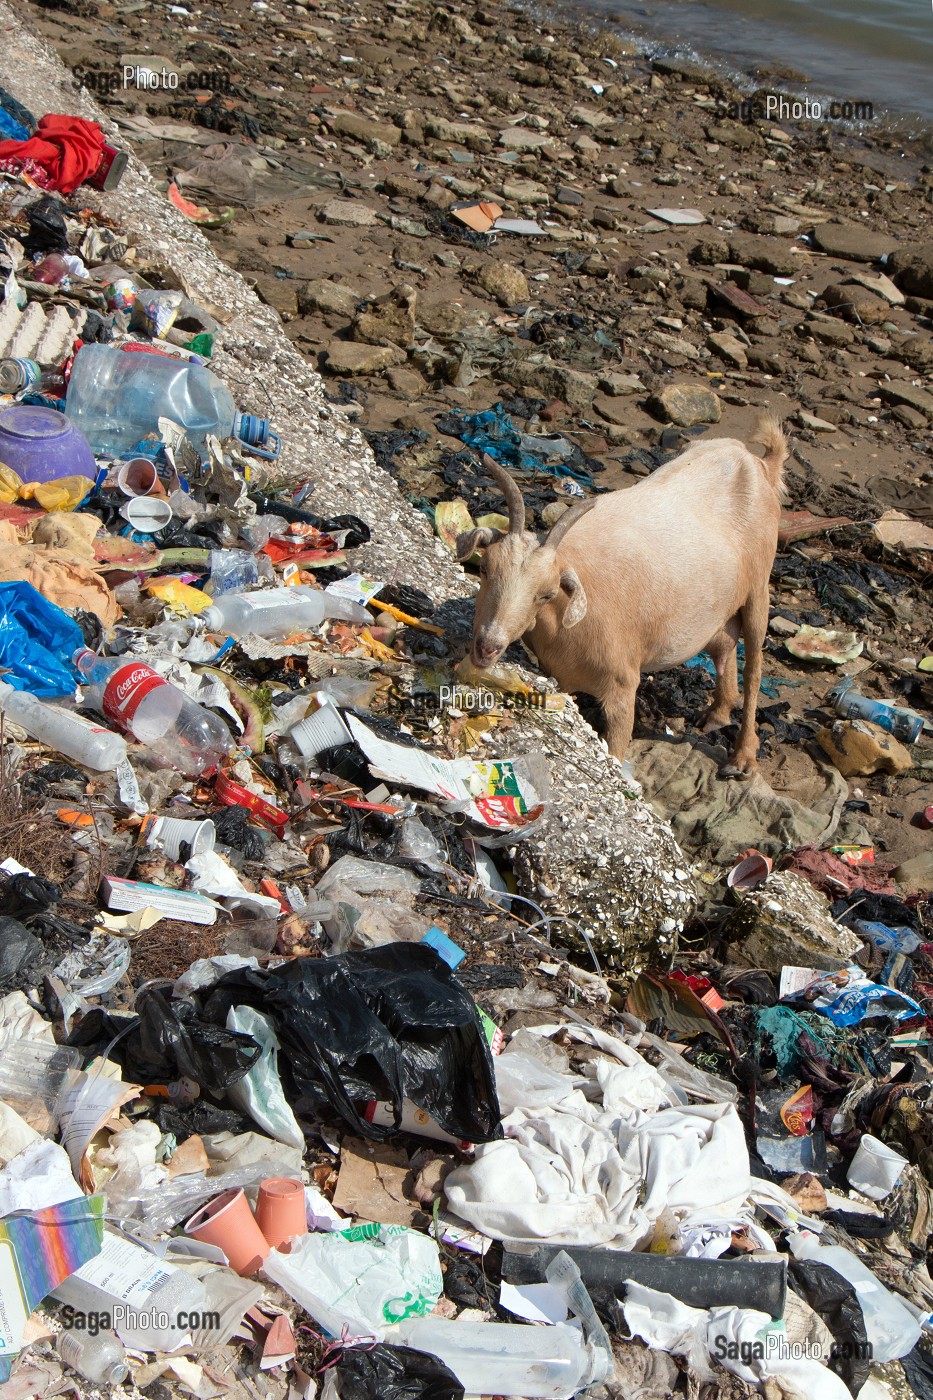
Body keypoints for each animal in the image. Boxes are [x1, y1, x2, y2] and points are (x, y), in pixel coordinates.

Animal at [456, 414, 784, 778]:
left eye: (546, 594)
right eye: (486, 569)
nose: (487, 646)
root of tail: (755, 461)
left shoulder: (622, 687)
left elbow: (615, 748)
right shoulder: (561, 676)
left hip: (759, 585)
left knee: (753, 666)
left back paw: (742, 758)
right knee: (724, 644)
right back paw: (717, 715)